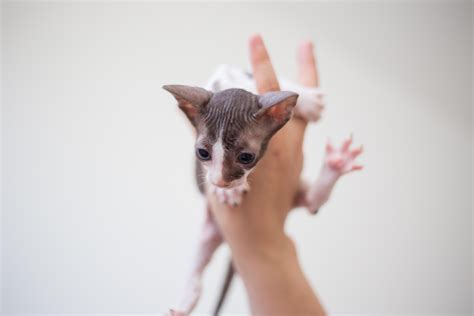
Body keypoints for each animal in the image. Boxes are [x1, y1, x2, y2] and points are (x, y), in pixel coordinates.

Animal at [163, 65, 362, 316]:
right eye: (202, 153)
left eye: (246, 157)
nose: (220, 183)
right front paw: (228, 193)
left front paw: (307, 99)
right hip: (211, 229)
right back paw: (186, 299)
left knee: (312, 201)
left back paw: (336, 164)